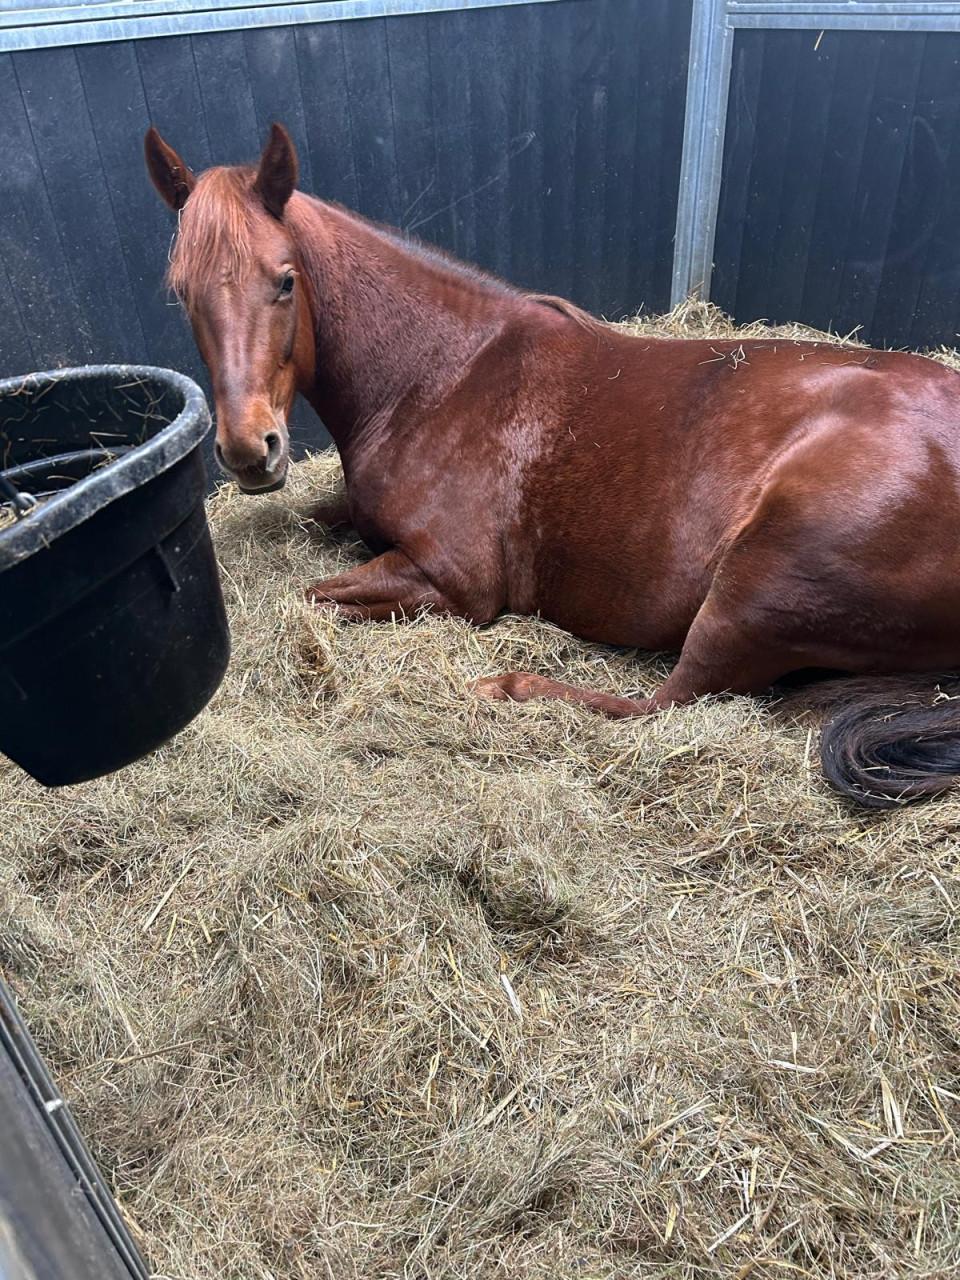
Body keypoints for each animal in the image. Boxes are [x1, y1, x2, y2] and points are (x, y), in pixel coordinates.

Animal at [145, 122, 960, 810]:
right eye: (181, 293)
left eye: (284, 280)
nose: (249, 450)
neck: (440, 376)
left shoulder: (457, 582)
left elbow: (315, 595)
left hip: (753, 590)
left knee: (667, 700)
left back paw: (511, 685)